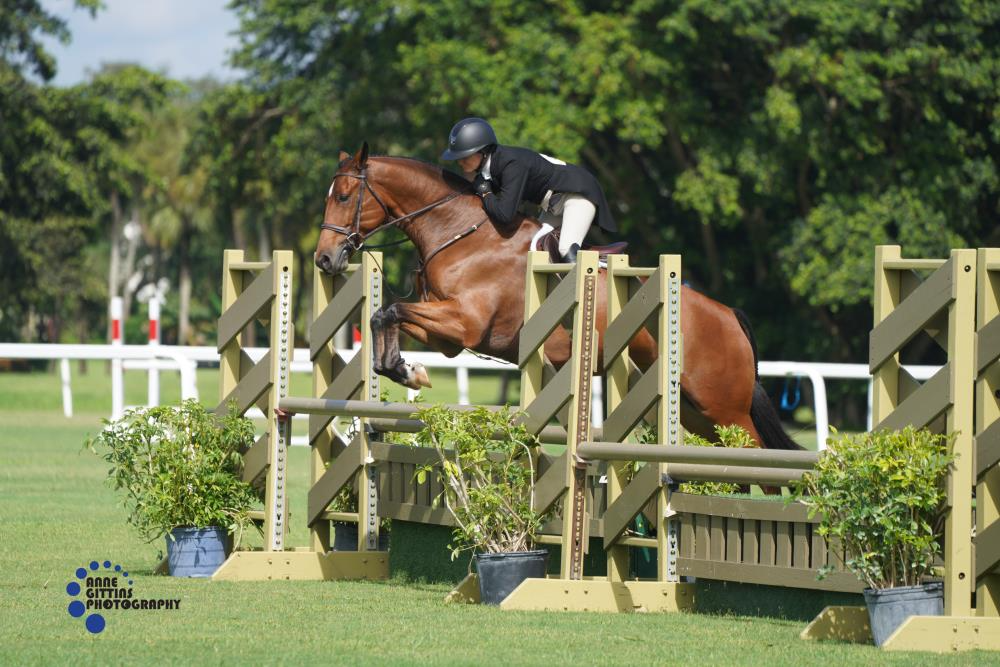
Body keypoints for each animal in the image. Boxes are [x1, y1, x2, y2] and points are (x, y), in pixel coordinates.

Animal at [316, 144, 800, 452]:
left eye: (345, 196)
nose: (324, 259)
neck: (459, 233)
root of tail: (729, 315)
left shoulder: (464, 322)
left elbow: (391, 311)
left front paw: (408, 371)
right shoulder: (449, 336)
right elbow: (384, 314)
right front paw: (405, 369)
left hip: (725, 407)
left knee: (760, 457)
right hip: (698, 413)